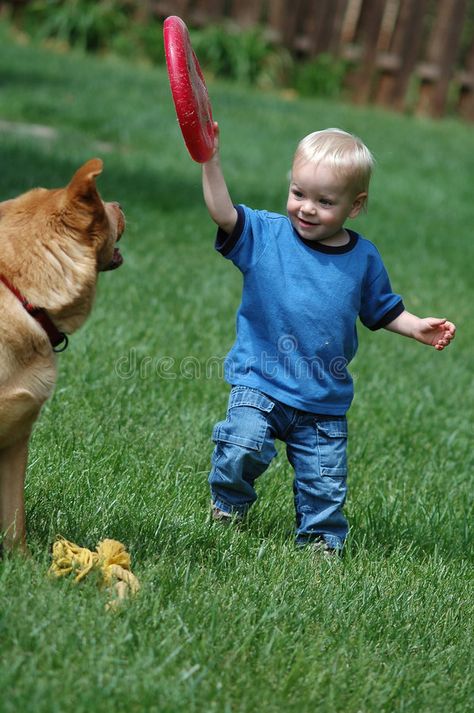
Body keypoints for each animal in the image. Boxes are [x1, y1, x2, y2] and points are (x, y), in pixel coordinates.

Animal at [0, 160, 124, 552]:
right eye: (103, 205)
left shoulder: (16, 440)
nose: (121, 204)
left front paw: (20, 563)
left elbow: (14, 520)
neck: (22, 296)